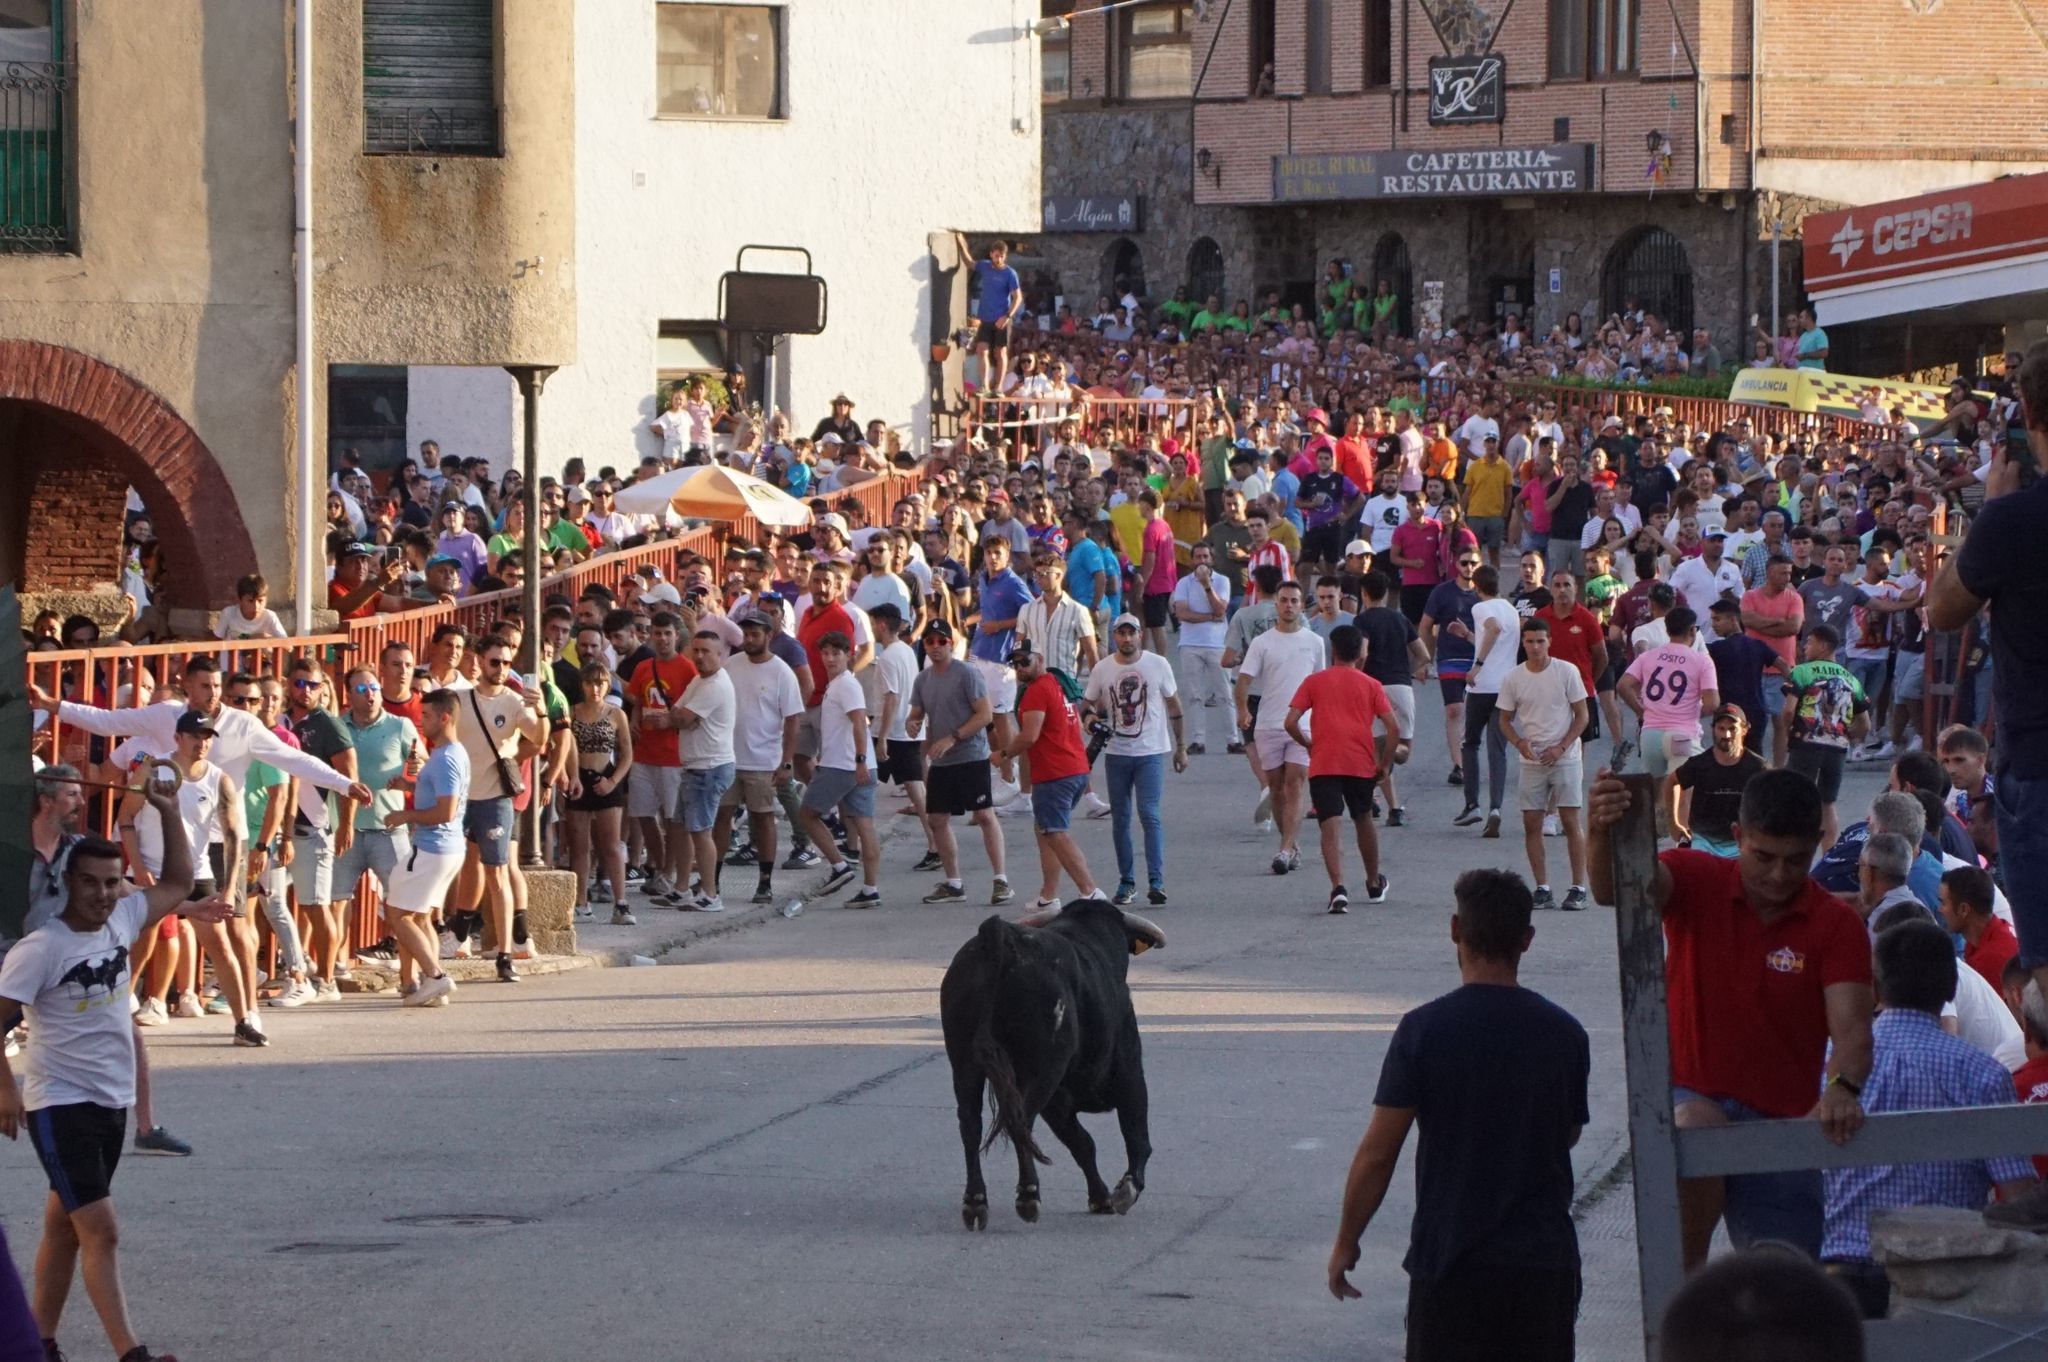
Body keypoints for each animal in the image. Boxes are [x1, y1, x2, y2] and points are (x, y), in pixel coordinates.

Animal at [937, 897, 1163, 1228]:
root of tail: (1001, 936)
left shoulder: (1058, 1102)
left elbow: (1083, 1143)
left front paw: (1100, 1197)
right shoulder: (1130, 1071)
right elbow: (1137, 1135)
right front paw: (1125, 1190)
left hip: (964, 1061)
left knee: (970, 1124)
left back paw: (976, 1201)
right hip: (1043, 1068)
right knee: (1020, 1123)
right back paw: (1028, 1195)